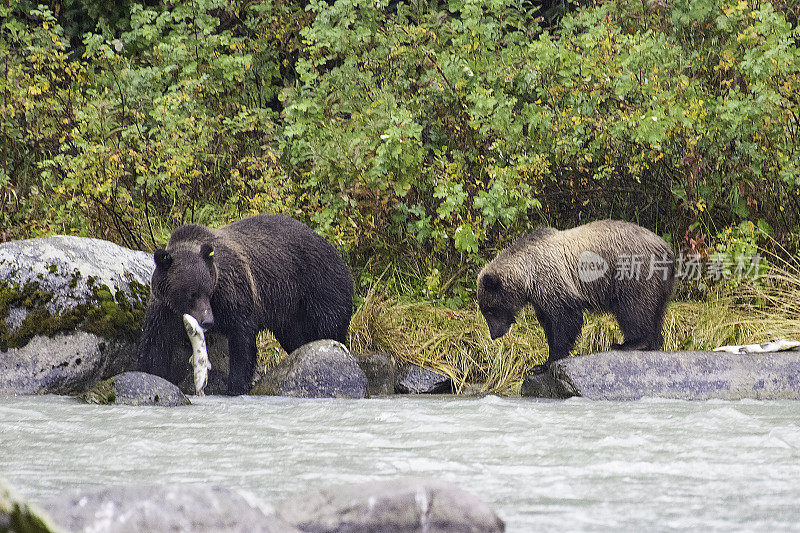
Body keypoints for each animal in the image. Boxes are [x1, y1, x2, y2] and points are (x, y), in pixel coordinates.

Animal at [137, 213, 354, 394]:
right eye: (191, 293)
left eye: (208, 291)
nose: (207, 321)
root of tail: (339, 256)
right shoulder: (164, 308)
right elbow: (156, 344)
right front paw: (152, 374)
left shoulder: (233, 291)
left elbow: (242, 338)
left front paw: (236, 385)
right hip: (290, 314)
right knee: (297, 339)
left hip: (319, 288)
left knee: (327, 329)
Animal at [476, 218, 676, 368]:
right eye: (485, 310)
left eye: (490, 310)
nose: (494, 334)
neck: (527, 276)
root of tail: (666, 247)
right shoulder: (540, 295)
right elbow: (549, 322)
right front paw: (542, 362)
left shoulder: (551, 278)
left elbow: (565, 318)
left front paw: (550, 360)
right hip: (659, 283)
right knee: (655, 311)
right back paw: (654, 342)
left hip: (633, 274)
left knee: (634, 308)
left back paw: (628, 343)